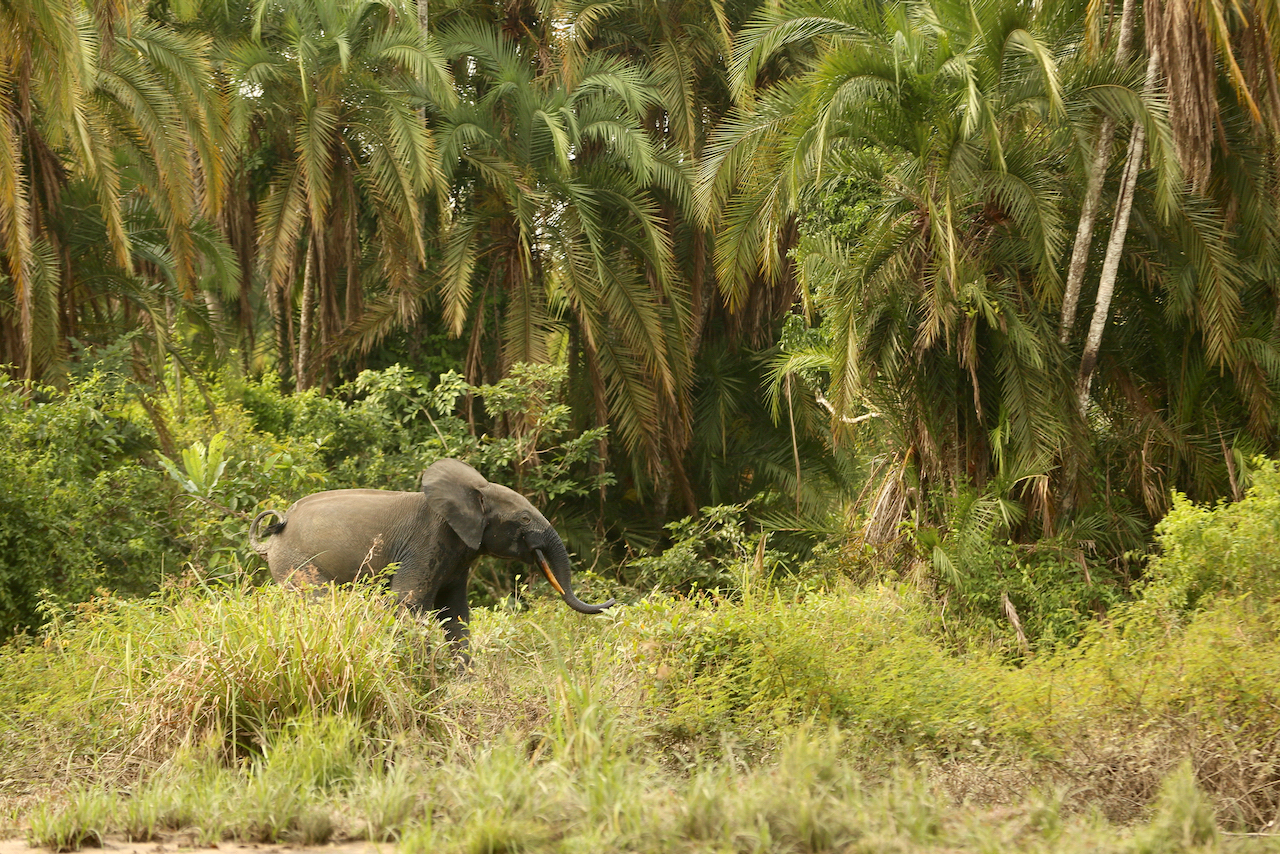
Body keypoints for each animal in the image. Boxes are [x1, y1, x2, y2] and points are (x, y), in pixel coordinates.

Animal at [248, 458, 615, 655]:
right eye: (524, 519)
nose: (611, 603)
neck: (475, 490)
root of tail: (276, 530)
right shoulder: (427, 541)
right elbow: (406, 603)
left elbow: (455, 613)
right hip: (297, 564)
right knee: (319, 602)